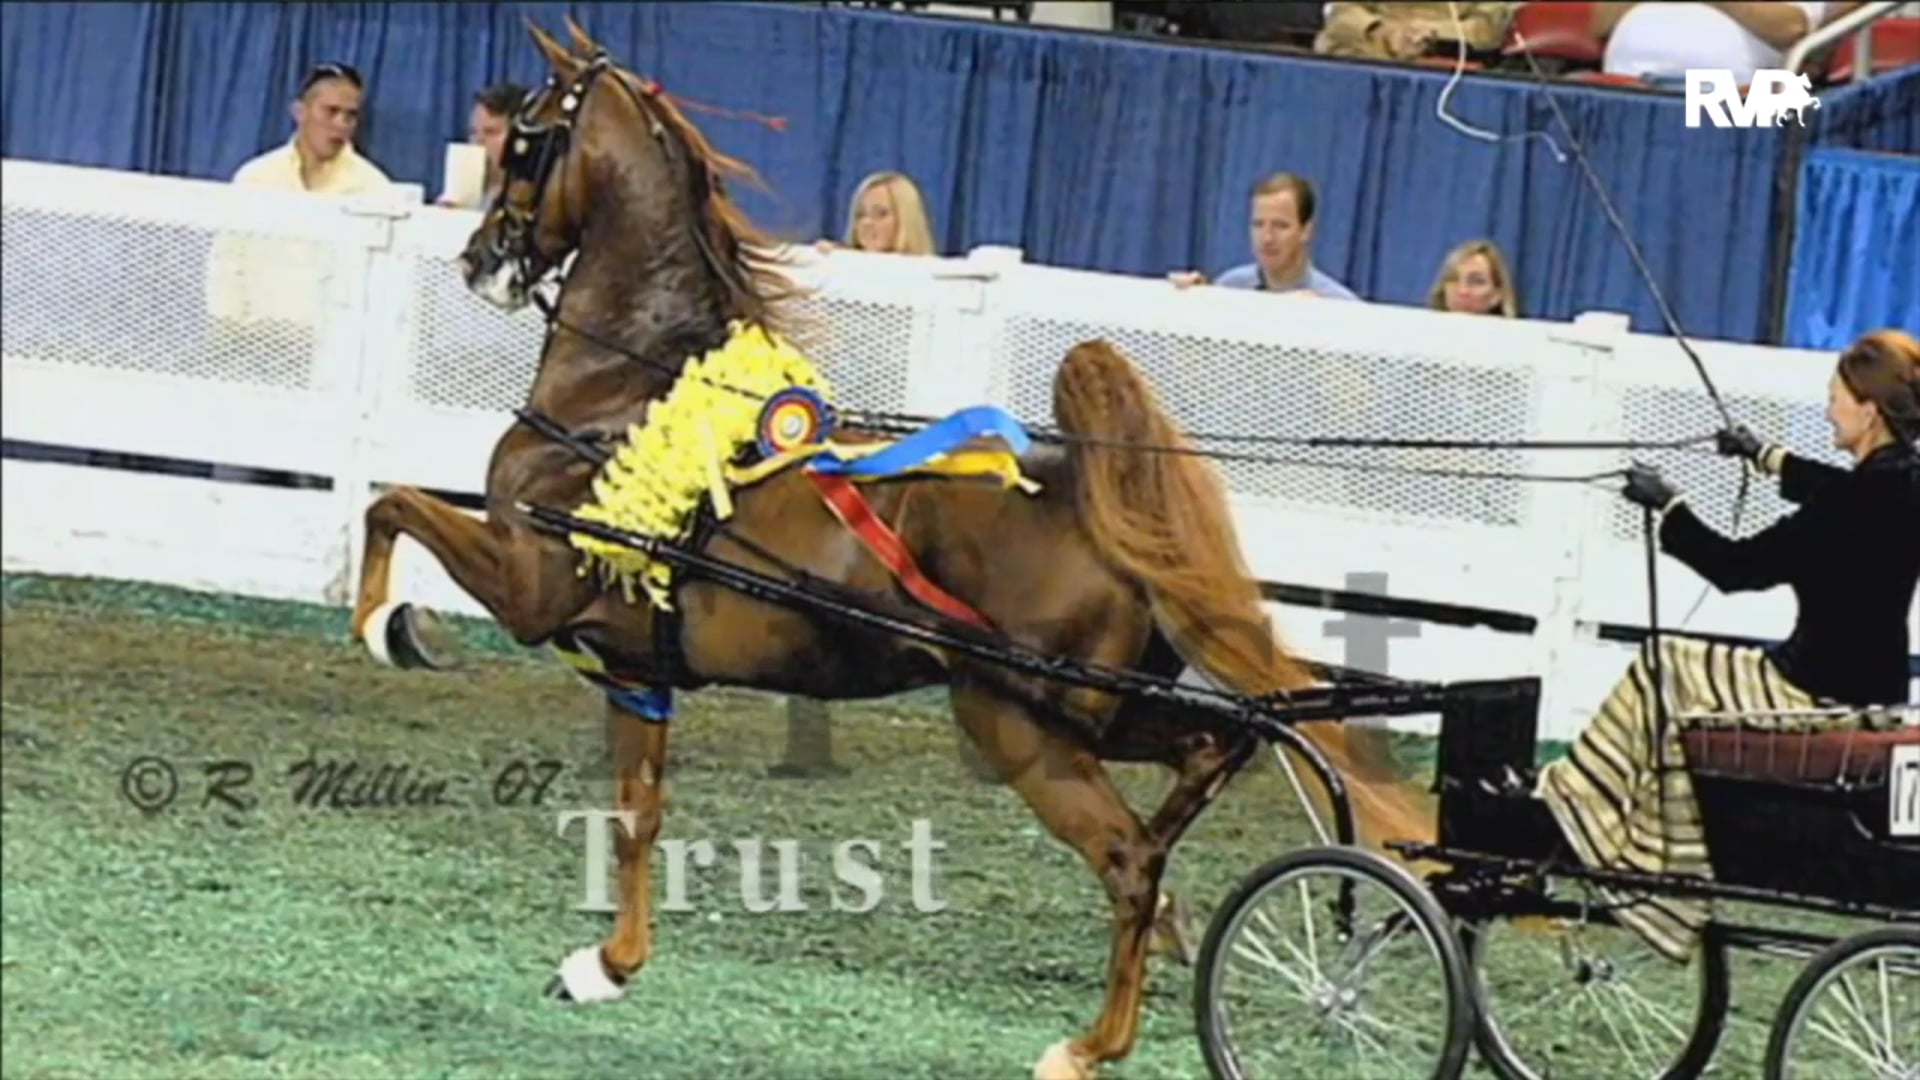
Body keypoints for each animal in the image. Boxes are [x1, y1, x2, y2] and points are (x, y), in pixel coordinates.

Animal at [349, 19, 1436, 1078]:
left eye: (526, 139)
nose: (480, 257)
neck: (629, 396)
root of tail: (1084, 497)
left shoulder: (528, 584)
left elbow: (393, 507)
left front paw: (391, 626)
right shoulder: (633, 663)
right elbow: (637, 815)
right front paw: (607, 966)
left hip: (1018, 720)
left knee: (1129, 856)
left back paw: (1090, 1044)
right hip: (1093, 707)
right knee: (1213, 753)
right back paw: (1173, 919)